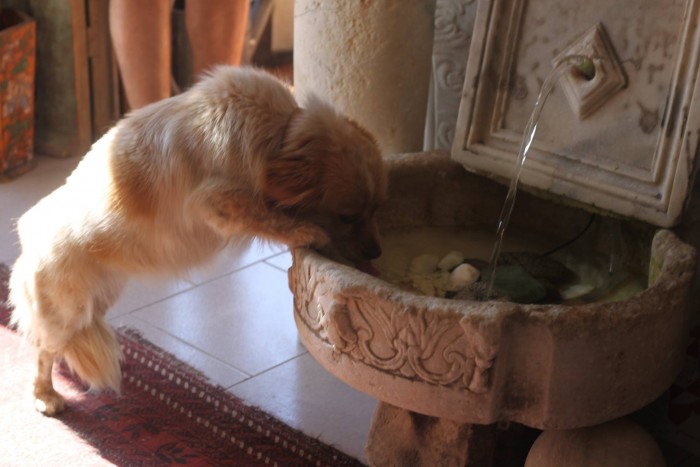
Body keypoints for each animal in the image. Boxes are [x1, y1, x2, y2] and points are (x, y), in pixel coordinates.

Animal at [8, 66, 386, 416]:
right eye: (347, 216)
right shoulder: (214, 200)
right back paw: (46, 395)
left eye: (375, 209)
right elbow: (267, 215)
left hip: (100, 298)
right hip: (68, 311)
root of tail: (26, 241)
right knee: (43, 350)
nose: (376, 251)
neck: (279, 134)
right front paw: (307, 231)